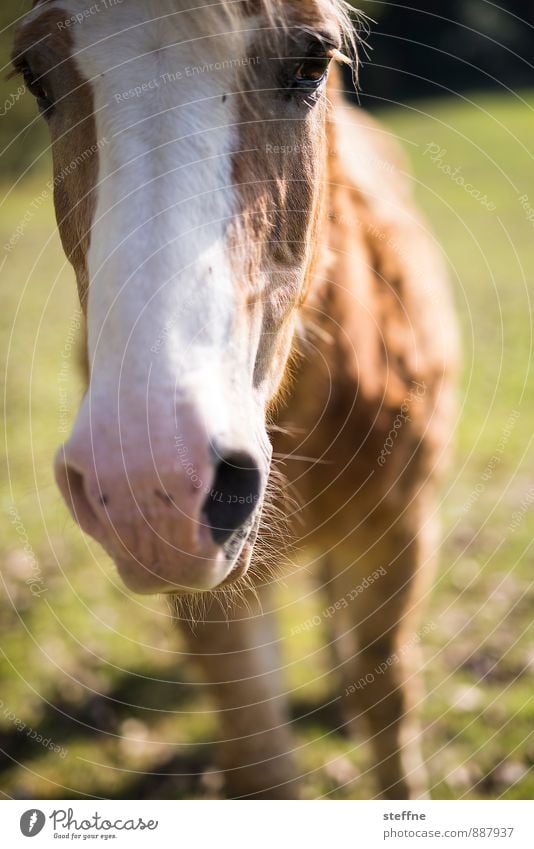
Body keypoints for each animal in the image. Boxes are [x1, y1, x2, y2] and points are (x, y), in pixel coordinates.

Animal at [13, 0, 460, 796]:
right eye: (35, 75)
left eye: (311, 62)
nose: (149, 487)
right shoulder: (211, 602)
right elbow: (261, 759)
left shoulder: (401, 534)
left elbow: (386, 699)